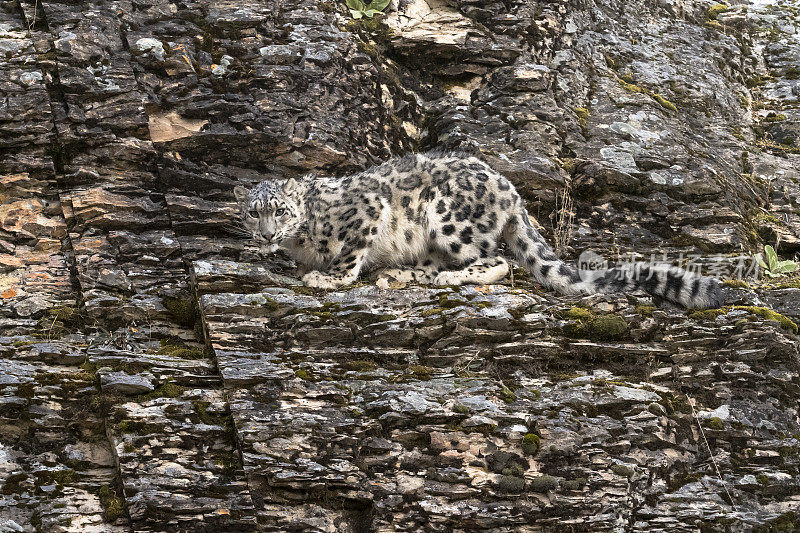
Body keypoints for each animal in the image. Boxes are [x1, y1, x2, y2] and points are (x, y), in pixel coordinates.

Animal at [233, 150, 724, 308]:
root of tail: (511, 189)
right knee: (433, 264)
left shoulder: (365, 215)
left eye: (280, 211)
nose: (265, 234)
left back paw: (453, 276)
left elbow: (349, 254)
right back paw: (398, 274)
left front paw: (327, 277)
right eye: (253, 213)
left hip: (450, 220)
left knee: (500, 260)